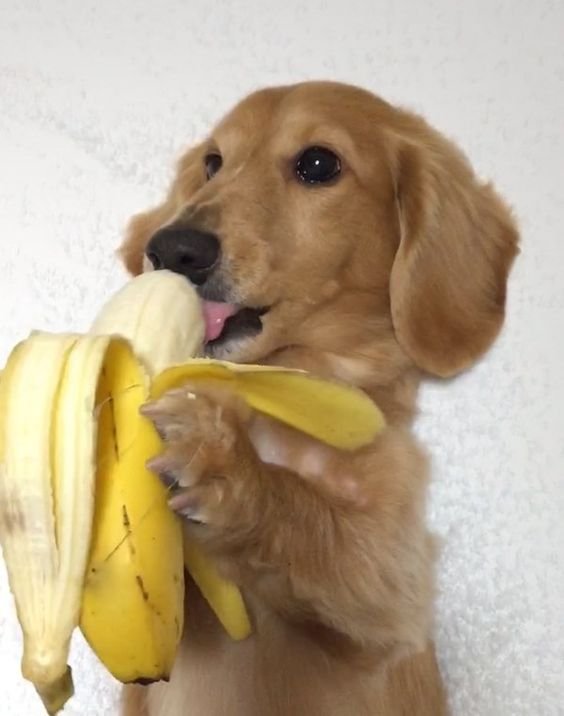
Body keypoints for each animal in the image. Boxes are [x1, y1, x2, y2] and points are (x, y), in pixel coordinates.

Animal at [118, 81, 520, 712]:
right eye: (213, 162)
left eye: (318, 164)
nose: (173, 249)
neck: (281, 390)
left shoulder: (390, 592)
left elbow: (312, 521)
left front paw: (232, 471)